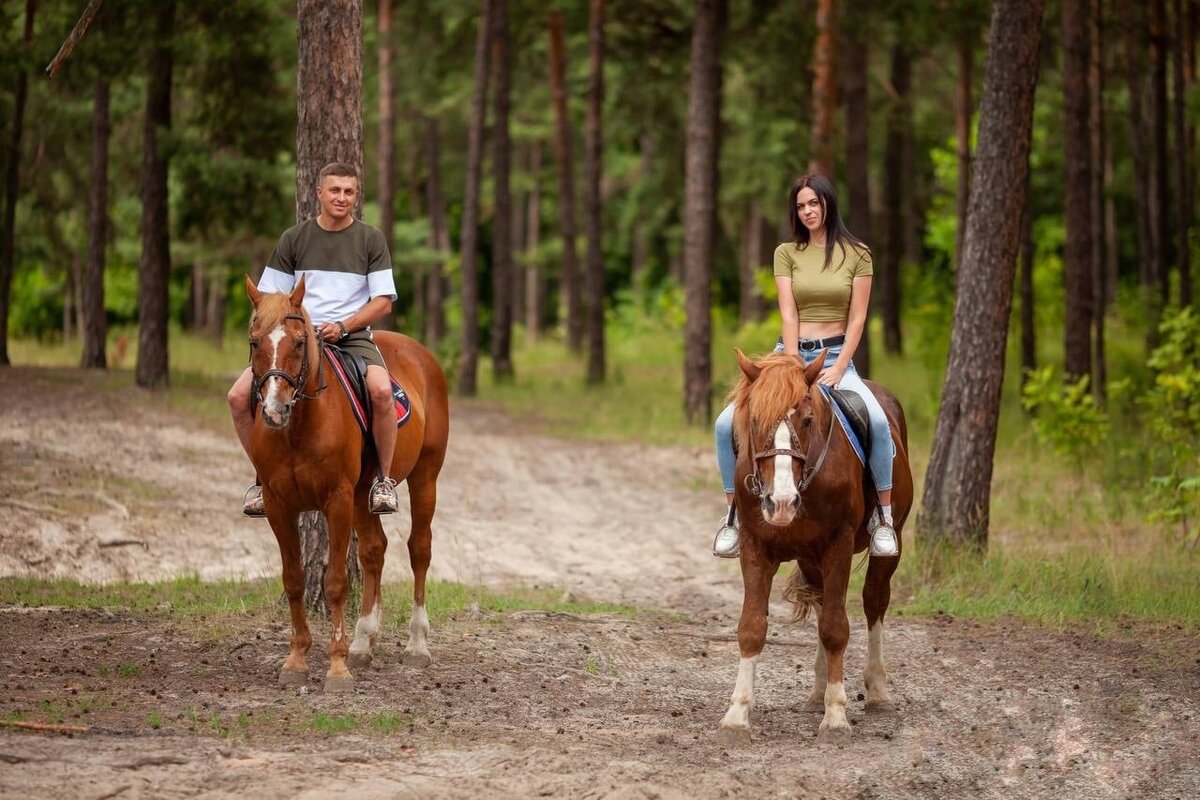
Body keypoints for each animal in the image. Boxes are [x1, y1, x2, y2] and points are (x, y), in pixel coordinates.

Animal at [243, 278, 451, 690]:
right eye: (255, 342)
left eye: (299, 342)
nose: (274, 409)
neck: (300, 426)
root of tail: (421, 354)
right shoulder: (278, 505)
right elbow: (294, 579)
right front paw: (296, 661)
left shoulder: (336, 500)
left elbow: (336, 581)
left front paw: (336, 669)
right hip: (361, 492)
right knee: (374, 550)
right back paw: (363, 641)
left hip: (425, 476)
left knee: (419, 549)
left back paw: (417, 644)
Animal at [720, 350, 907, 743]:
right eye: (754, 420)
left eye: (806, 421)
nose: (781, 502)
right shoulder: (755, 547)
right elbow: (751, 627)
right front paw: (737, 715)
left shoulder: (838, 544)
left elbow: (836, 628)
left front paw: (836, 717)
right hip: (809, 558)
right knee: (822, 602)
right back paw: (818, 692)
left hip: (887, 545)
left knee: (874, 602)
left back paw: (877, 693)